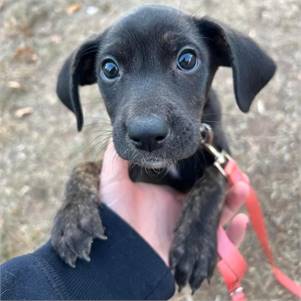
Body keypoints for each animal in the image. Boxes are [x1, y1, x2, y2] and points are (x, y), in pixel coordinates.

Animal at [50, 4, 276, 290]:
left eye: (187, 60)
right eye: (109, 68)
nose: (146, 135)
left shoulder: (221, 156)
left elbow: (213, 181)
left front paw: (193, 244)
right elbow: (82, 166)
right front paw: (72, 219)